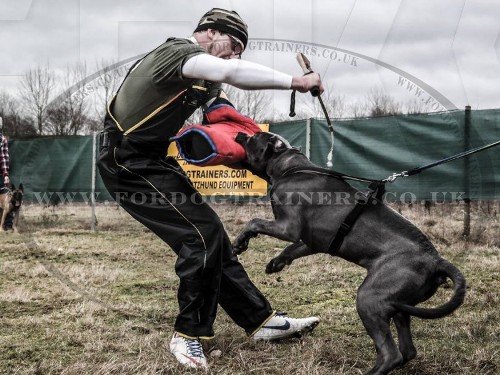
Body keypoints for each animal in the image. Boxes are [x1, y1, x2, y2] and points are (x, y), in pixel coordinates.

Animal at [232, 133, 466, 375]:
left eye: (253, 138)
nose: (240, 134)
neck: (290, 167)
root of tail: (436, 260)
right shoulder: (313, 241)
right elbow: (292, 249)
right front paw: (277, 262)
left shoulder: (288, 226)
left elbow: (254, 221)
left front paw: (239, 242)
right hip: (399, 306)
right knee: (407, 350)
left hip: (369, 298)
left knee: (391, 354)